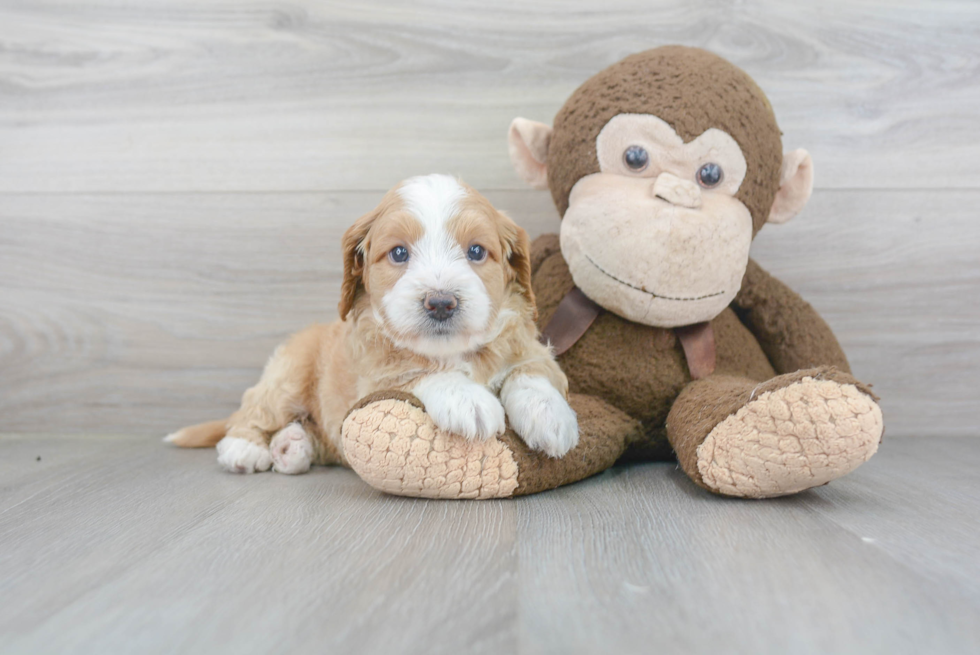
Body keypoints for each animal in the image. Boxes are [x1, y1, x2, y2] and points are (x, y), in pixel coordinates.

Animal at [166, 173, 580, 472]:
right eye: (399, 253)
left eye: (476, 251)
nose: (441, 303)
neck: (454, 352)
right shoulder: (371, 379)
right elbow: (416, 371)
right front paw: (466, 399)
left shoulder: (530, 347)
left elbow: (531, 371)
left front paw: (550, 416)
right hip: (288, 374)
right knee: (257, 408)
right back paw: (245, 448)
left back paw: (292, 446)